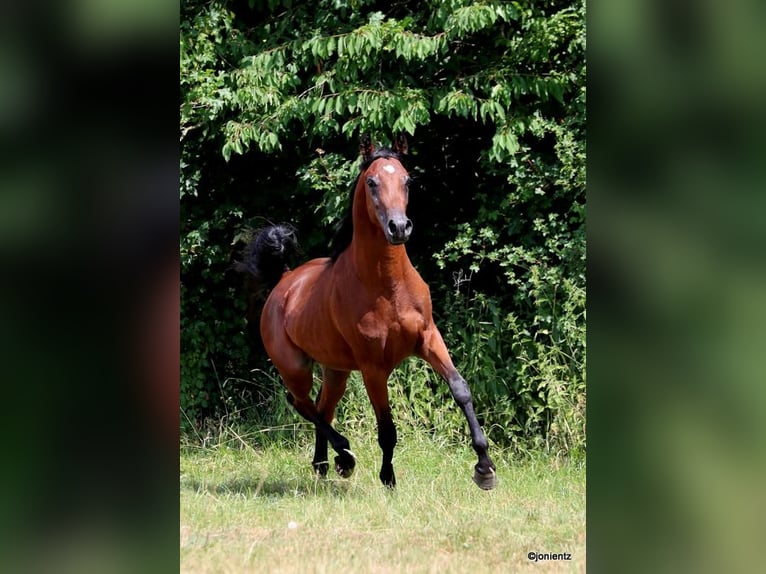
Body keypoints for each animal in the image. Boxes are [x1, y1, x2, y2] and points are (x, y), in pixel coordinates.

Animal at [236, 134, 497, 489]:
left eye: (407, 180)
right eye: (372, 182)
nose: (398, 227)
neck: (388, 287)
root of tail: (285, 280)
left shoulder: (429, 338)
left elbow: (461, 390)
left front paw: (484, 468)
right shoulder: (374, 367)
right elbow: (386, 428)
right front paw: (388, 480)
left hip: (336, 370)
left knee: (323, 406)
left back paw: (324, 464)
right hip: (295, 366)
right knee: (302, 403)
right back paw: (344, 457)